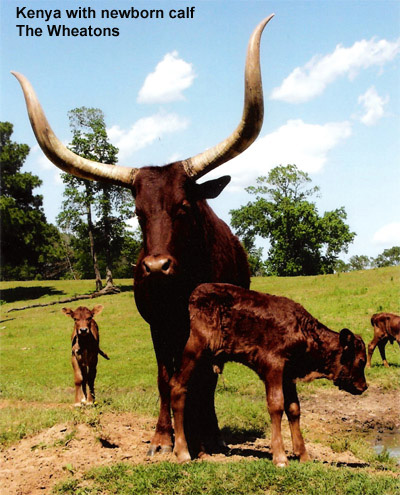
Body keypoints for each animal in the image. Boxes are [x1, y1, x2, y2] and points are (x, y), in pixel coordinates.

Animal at [11, 15, 276, 458]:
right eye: (138, 212)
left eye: (184, 206)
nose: (156, 266)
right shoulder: (158, 327)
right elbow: (165, 379)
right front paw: (162, 439)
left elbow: (204, 380)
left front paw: (206, 438)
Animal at [170, 284, 368, 466]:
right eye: (361, 360)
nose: (364, 386)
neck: (303, 331)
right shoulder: (273, 367)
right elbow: (276, 405)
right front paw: (280, 457)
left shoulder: (288, 375)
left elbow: (294, 408)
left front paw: (303, 455)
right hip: (193, 352)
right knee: (178, 388)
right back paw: (183, 453)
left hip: (204, 365)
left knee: (194, 397)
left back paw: (201, 452)